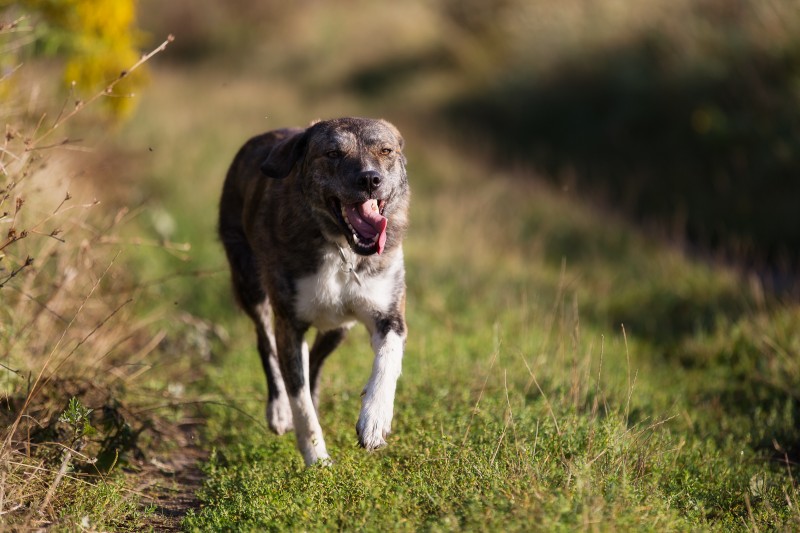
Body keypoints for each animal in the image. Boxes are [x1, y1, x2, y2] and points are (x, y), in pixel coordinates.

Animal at [217, 117, 410, 466]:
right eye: (333, 153)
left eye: (386, 151)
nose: (370, 179)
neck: (342, 248)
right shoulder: (289, 323)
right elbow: (300, 399)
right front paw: (317, 460)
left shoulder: (387, 312)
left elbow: (388, 360)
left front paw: (374, 420)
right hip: (250, 284)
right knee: (267, 345)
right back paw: (279, 410)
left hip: (339, 327)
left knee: (315, 361)